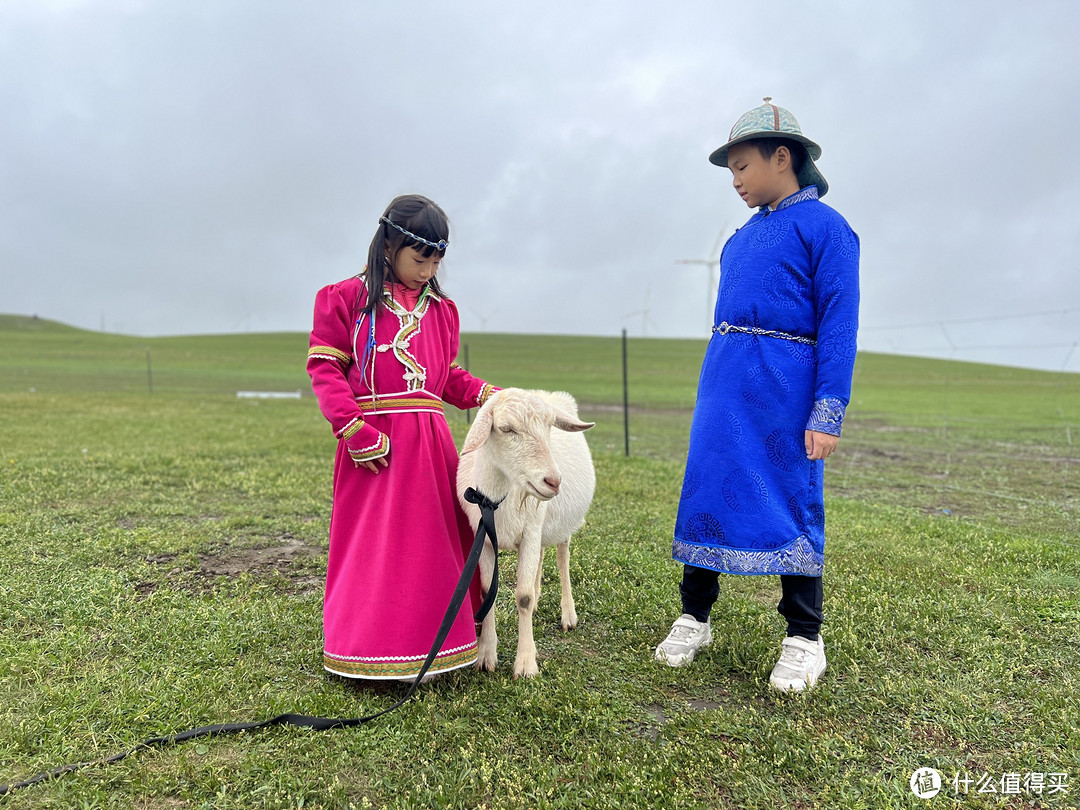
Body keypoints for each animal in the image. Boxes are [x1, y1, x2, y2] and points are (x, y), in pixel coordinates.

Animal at [453, 386, 596, 678]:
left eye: (550, 426)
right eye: (506, 429)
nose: (553, 481)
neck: (500, 497)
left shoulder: (530, 532)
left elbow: (524, 597)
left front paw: (526, 664)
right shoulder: (486, 539)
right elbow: (487, 591)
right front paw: (486, 655)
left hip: (561, 524)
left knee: (562, 557)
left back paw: (568, 615)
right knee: (541, 555)